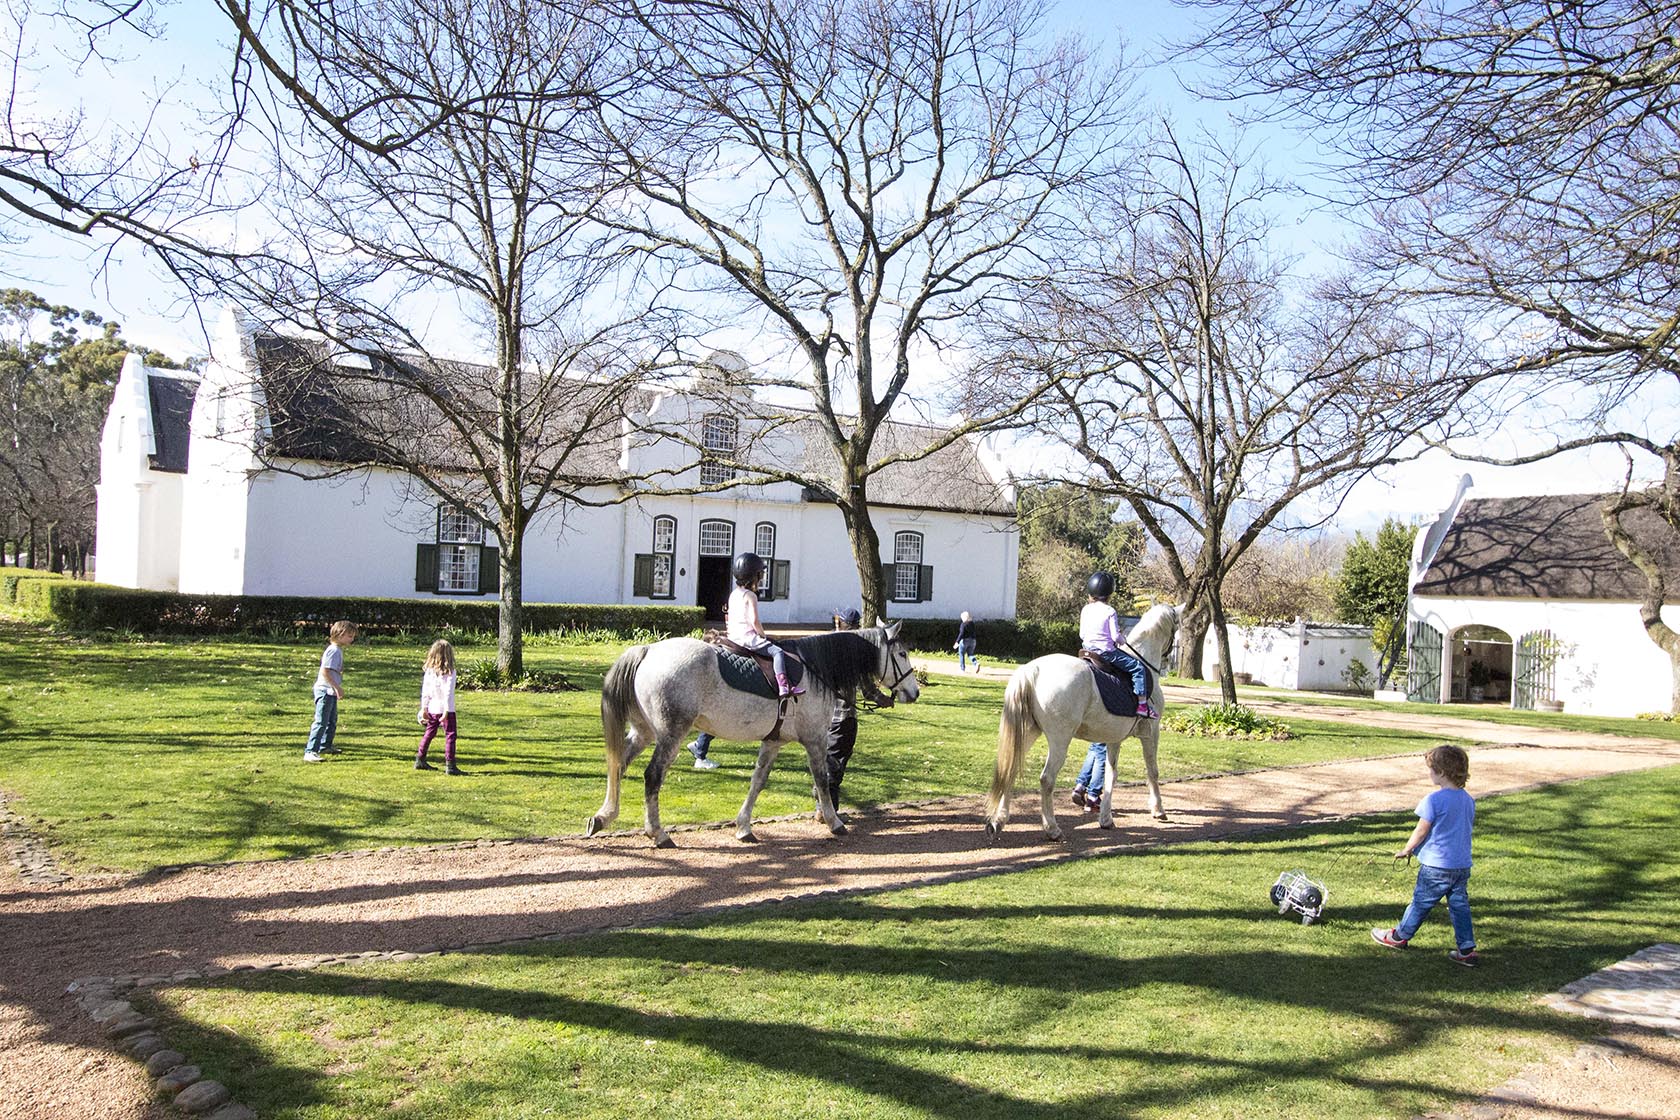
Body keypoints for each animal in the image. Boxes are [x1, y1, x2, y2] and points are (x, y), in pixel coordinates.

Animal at [587, 621, 920, 848]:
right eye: (903, 653)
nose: (915, 692)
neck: (815, 669)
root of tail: (648, 650)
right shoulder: (815, 740)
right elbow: (822, 780)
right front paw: (834, 821)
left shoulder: (773, 742)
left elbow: (757, 782)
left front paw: (743, 826)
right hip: (671, 735)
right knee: (652, 776)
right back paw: (657, 833)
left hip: (643, 732)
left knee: (618, 764)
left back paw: (603, 816)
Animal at [983, 602, 1181, 841]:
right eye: (1177, 626)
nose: (1169, 662)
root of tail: (1032, 670)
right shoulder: (1151, 733)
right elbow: (1152, 771)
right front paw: (1158, 809)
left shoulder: (1114, 739)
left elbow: (1110, 776)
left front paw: (1106, 819)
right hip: (1059, 739)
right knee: (1046, 779)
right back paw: (1052, 829)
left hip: (1028, 731)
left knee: (1010, 770)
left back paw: (998, 821)